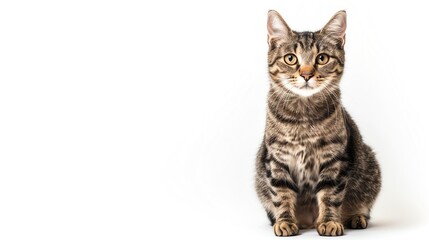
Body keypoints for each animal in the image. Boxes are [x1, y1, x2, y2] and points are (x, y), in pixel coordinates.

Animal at [252, 9, 380, 236]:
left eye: (322, 58)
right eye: (291, 58)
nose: (306, 74)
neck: (303, 118)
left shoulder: (334, 157)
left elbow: (330, 194)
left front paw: (329, 221)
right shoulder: (277, 158)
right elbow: (281, 193)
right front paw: (285, 221)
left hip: (370, 169)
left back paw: (356, 218)